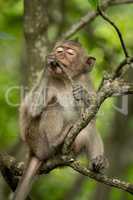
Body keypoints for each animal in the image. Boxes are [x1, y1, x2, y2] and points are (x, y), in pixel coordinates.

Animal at [13, 39, 107, 199]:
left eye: (70, 53)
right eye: (59, 50)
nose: (59, 56)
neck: (66, 80)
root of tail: (32, 150)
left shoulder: (86, 81)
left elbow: (92, 115)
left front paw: (82, 94)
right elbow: (32, 108)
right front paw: (48, 63)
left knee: (89, 129)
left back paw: (97, 164)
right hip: (37, 140)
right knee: (53, 104)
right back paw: (56, 139)